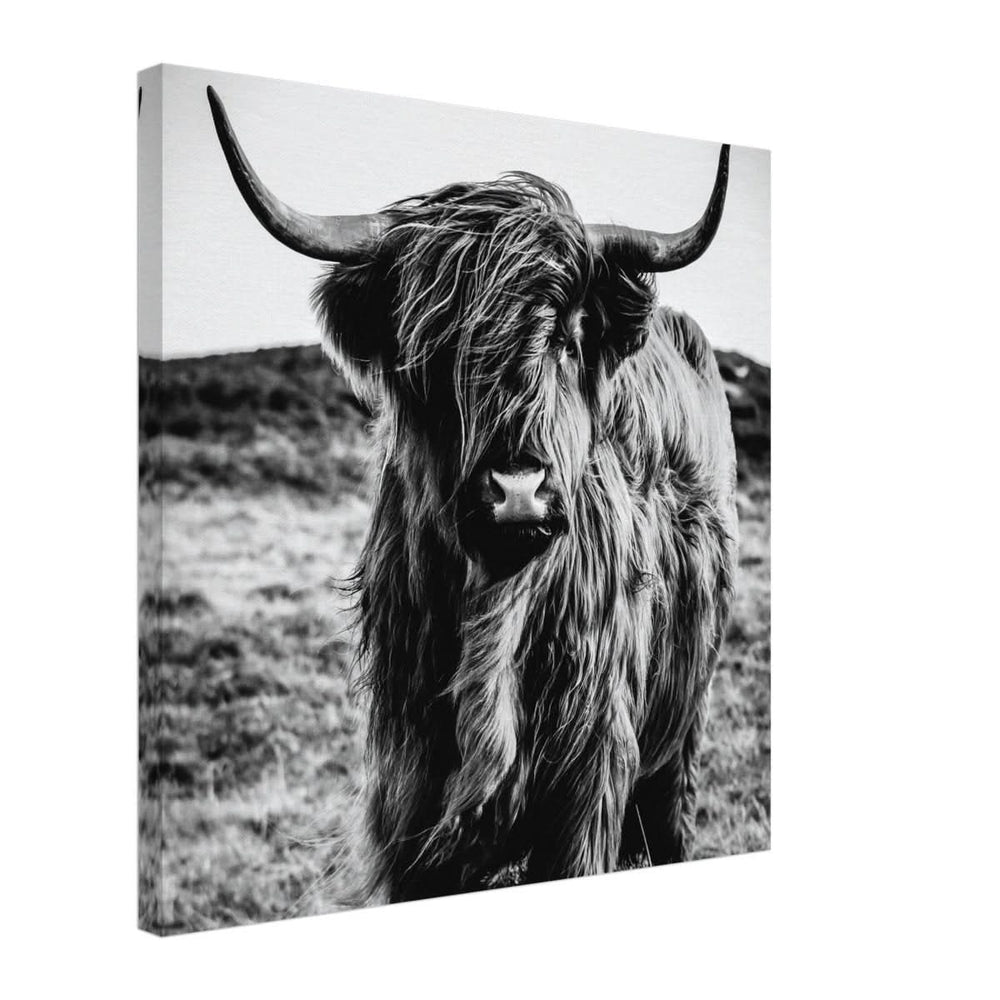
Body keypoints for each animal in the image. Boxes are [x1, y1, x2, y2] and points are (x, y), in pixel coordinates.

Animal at [207, 87, 739, 903]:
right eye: (433, 347)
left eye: (565, 337)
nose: (518, 489)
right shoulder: (409, 793)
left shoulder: (588, 784)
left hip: (680, 732)